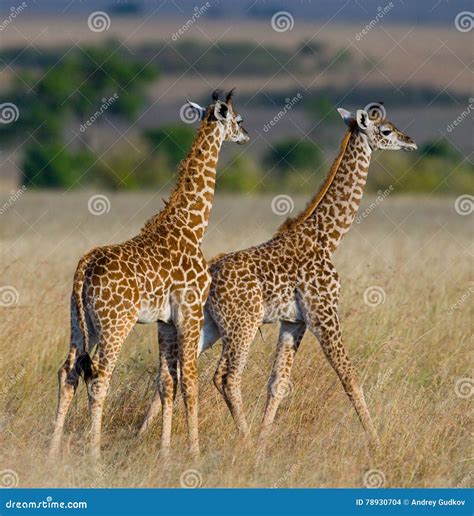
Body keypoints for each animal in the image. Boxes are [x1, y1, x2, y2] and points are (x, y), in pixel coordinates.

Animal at [50, 88, 250, 460]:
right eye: (238, 118)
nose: (246, 135)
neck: (192, 226)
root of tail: (85, 266)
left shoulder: (165, 322)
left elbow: (167, 382)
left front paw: (166, 453)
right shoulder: (190, 313)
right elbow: (189, 382)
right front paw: (194, 452)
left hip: (80, 322)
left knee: (67, 372)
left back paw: (52, 451)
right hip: (115, 323)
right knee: (99, 378)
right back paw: (95, 456)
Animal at [140, 102, 414, 448]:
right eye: (386, 130)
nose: (410, 141)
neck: (327, 237)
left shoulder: (293, 322)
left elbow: (278, 384)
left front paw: (263, 442)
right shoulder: (323, 314)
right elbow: (349, 377)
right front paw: (375, 441)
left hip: (206, 326)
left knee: (172, 373)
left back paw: (141, 435)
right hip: (242, 325)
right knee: (226, 377)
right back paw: (240, 441)